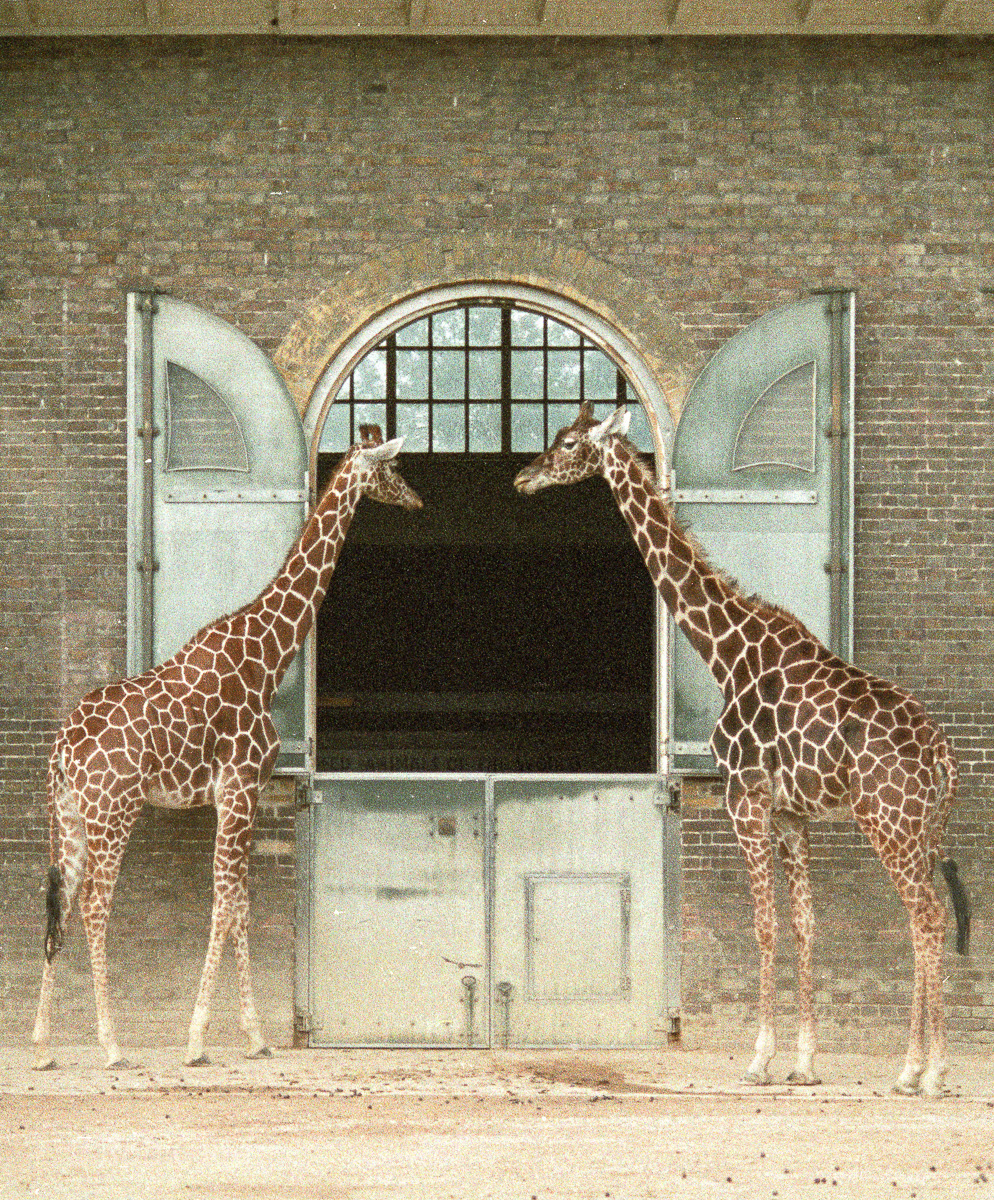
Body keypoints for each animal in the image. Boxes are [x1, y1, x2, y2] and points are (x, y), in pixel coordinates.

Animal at [33, 425, 422, 1071]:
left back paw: (41, 1044)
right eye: (391, 468)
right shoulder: (240, 789)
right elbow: (225, 905)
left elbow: (239, 904)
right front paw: (199, 1039)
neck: (268, 656)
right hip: (114, 810)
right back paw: (111, 1045)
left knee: (59, 903)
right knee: (92, 905)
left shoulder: (237, 797)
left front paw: (254, 1034)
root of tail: (63, 745)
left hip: (66, 814)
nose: (415, 499)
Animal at [514, 402, 969, 1100]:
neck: (726, 652)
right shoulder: (790, 815)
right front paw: (804, 1063)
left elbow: (763, 925)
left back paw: (930, 1071)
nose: (523, 478)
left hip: (887, 820)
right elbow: (805, 924)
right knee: (925, 916)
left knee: (927, 916)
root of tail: (944, 755)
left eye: (566, 442)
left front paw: (758, 1059)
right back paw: (912, 1068)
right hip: (922, 825)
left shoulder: (745, 800)